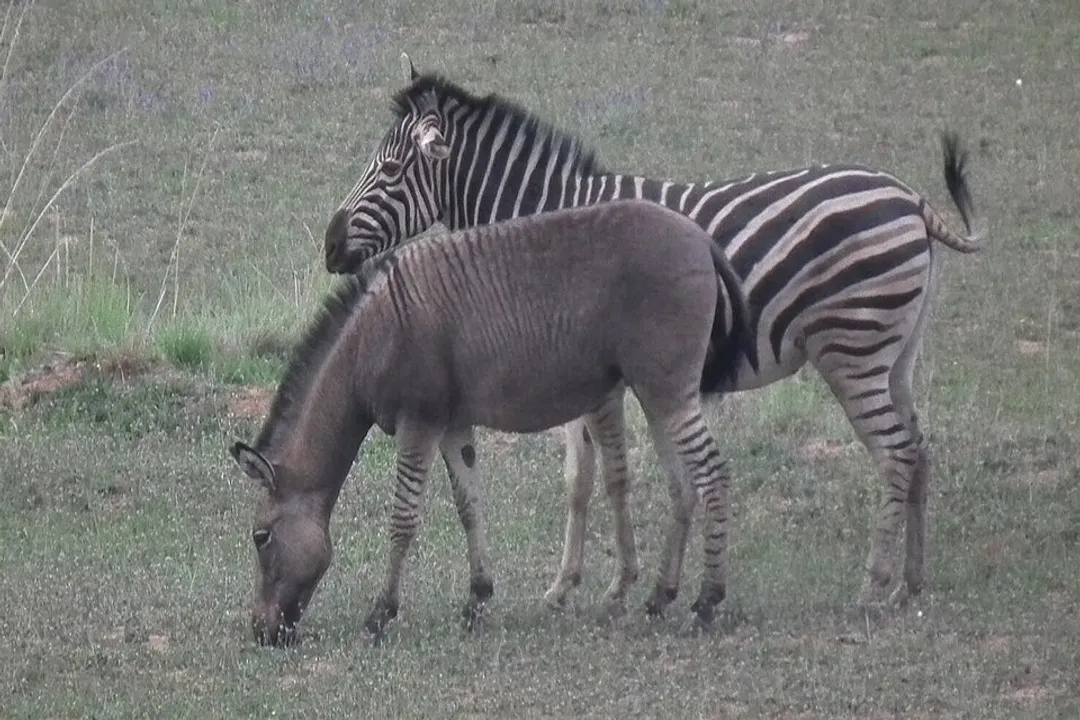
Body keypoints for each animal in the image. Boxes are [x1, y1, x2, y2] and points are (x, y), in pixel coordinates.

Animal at [323, 54, 985, 611]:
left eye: (387, 169)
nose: (329, 245)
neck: (540, 219)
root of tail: (912, 199)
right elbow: (579, 482)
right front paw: (567, 586)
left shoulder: (594, 374)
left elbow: (610, 478)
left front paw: (613, 584)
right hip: (895, 354)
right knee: (917, 448)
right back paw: (910, 584)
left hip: (852, 348)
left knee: (894, 454)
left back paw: (872, 586)